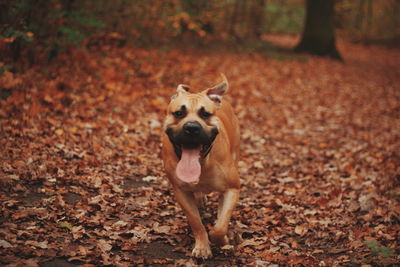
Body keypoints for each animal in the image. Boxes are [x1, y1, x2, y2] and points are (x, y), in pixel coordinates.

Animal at [161, 75, 239, 260]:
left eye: (205, 114)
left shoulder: (232, 189)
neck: (203, 162)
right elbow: (196, 222)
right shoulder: (181, 192)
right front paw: (203, 246)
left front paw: (223, 241)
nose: (191, 127)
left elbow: (219, 227)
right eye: (179, 113)